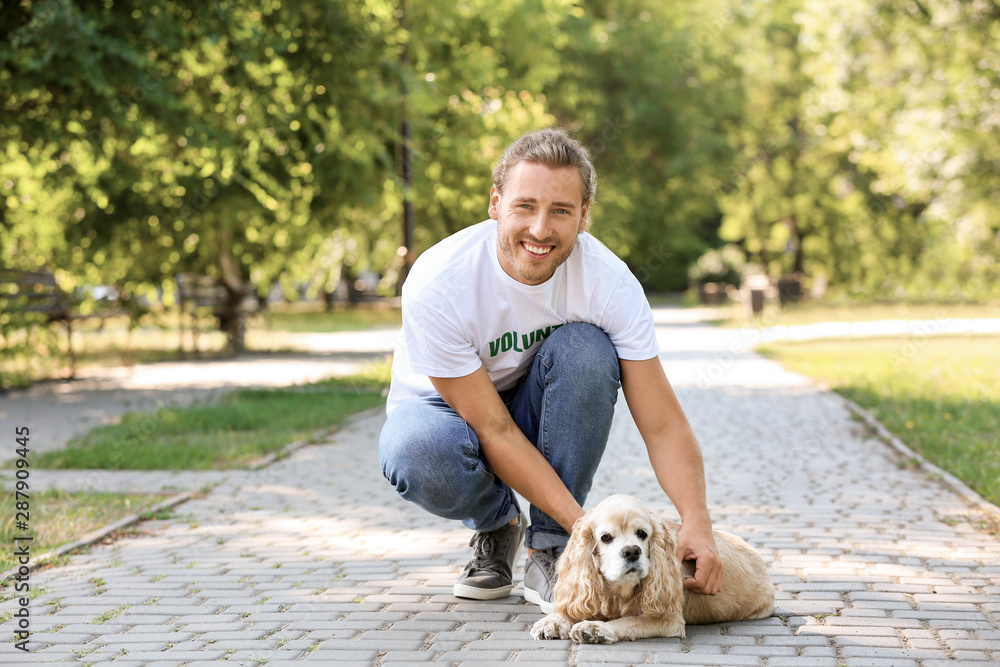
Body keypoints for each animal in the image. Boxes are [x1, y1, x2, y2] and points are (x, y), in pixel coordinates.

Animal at [532, 496, 772, 640]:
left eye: (642, 534)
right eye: (606, 537)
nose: (631, 551)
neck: (619, 592)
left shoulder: (670, 620)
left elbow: (629, 621)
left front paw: (596, 628)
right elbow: (569, 610)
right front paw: (552, 621)